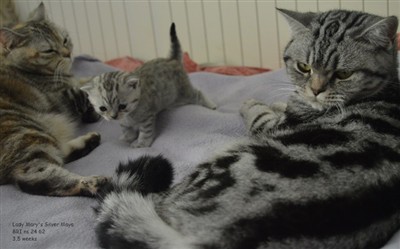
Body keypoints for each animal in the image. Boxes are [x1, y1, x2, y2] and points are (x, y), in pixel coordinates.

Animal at [0, 2, 108, 196]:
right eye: (49, 50)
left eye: (64, 40)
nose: (68, 53)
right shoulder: (63, 96)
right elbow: (86, 92)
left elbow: (90, 81)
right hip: (26, 134)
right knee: (36, 177)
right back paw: (93, 183)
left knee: (59, 154)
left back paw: (90, 140)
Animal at [81, 22, 217, 148]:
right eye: (103, 108)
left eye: (122, 106)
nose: (113, 116)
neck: (129, 114)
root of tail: (171, 59)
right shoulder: (124, 122)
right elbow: (126, 128)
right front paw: (127, 138)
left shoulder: (147, 117)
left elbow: (145, 131)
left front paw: (141, 143)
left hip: (183, 92)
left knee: (198, 93)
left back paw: (211, 106)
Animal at [95, 7, 400, 249]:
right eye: (304, 67)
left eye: (344, 74)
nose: (315, 90)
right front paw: (278, 100)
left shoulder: (273, 125)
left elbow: (259, 113)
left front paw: (253, 102)